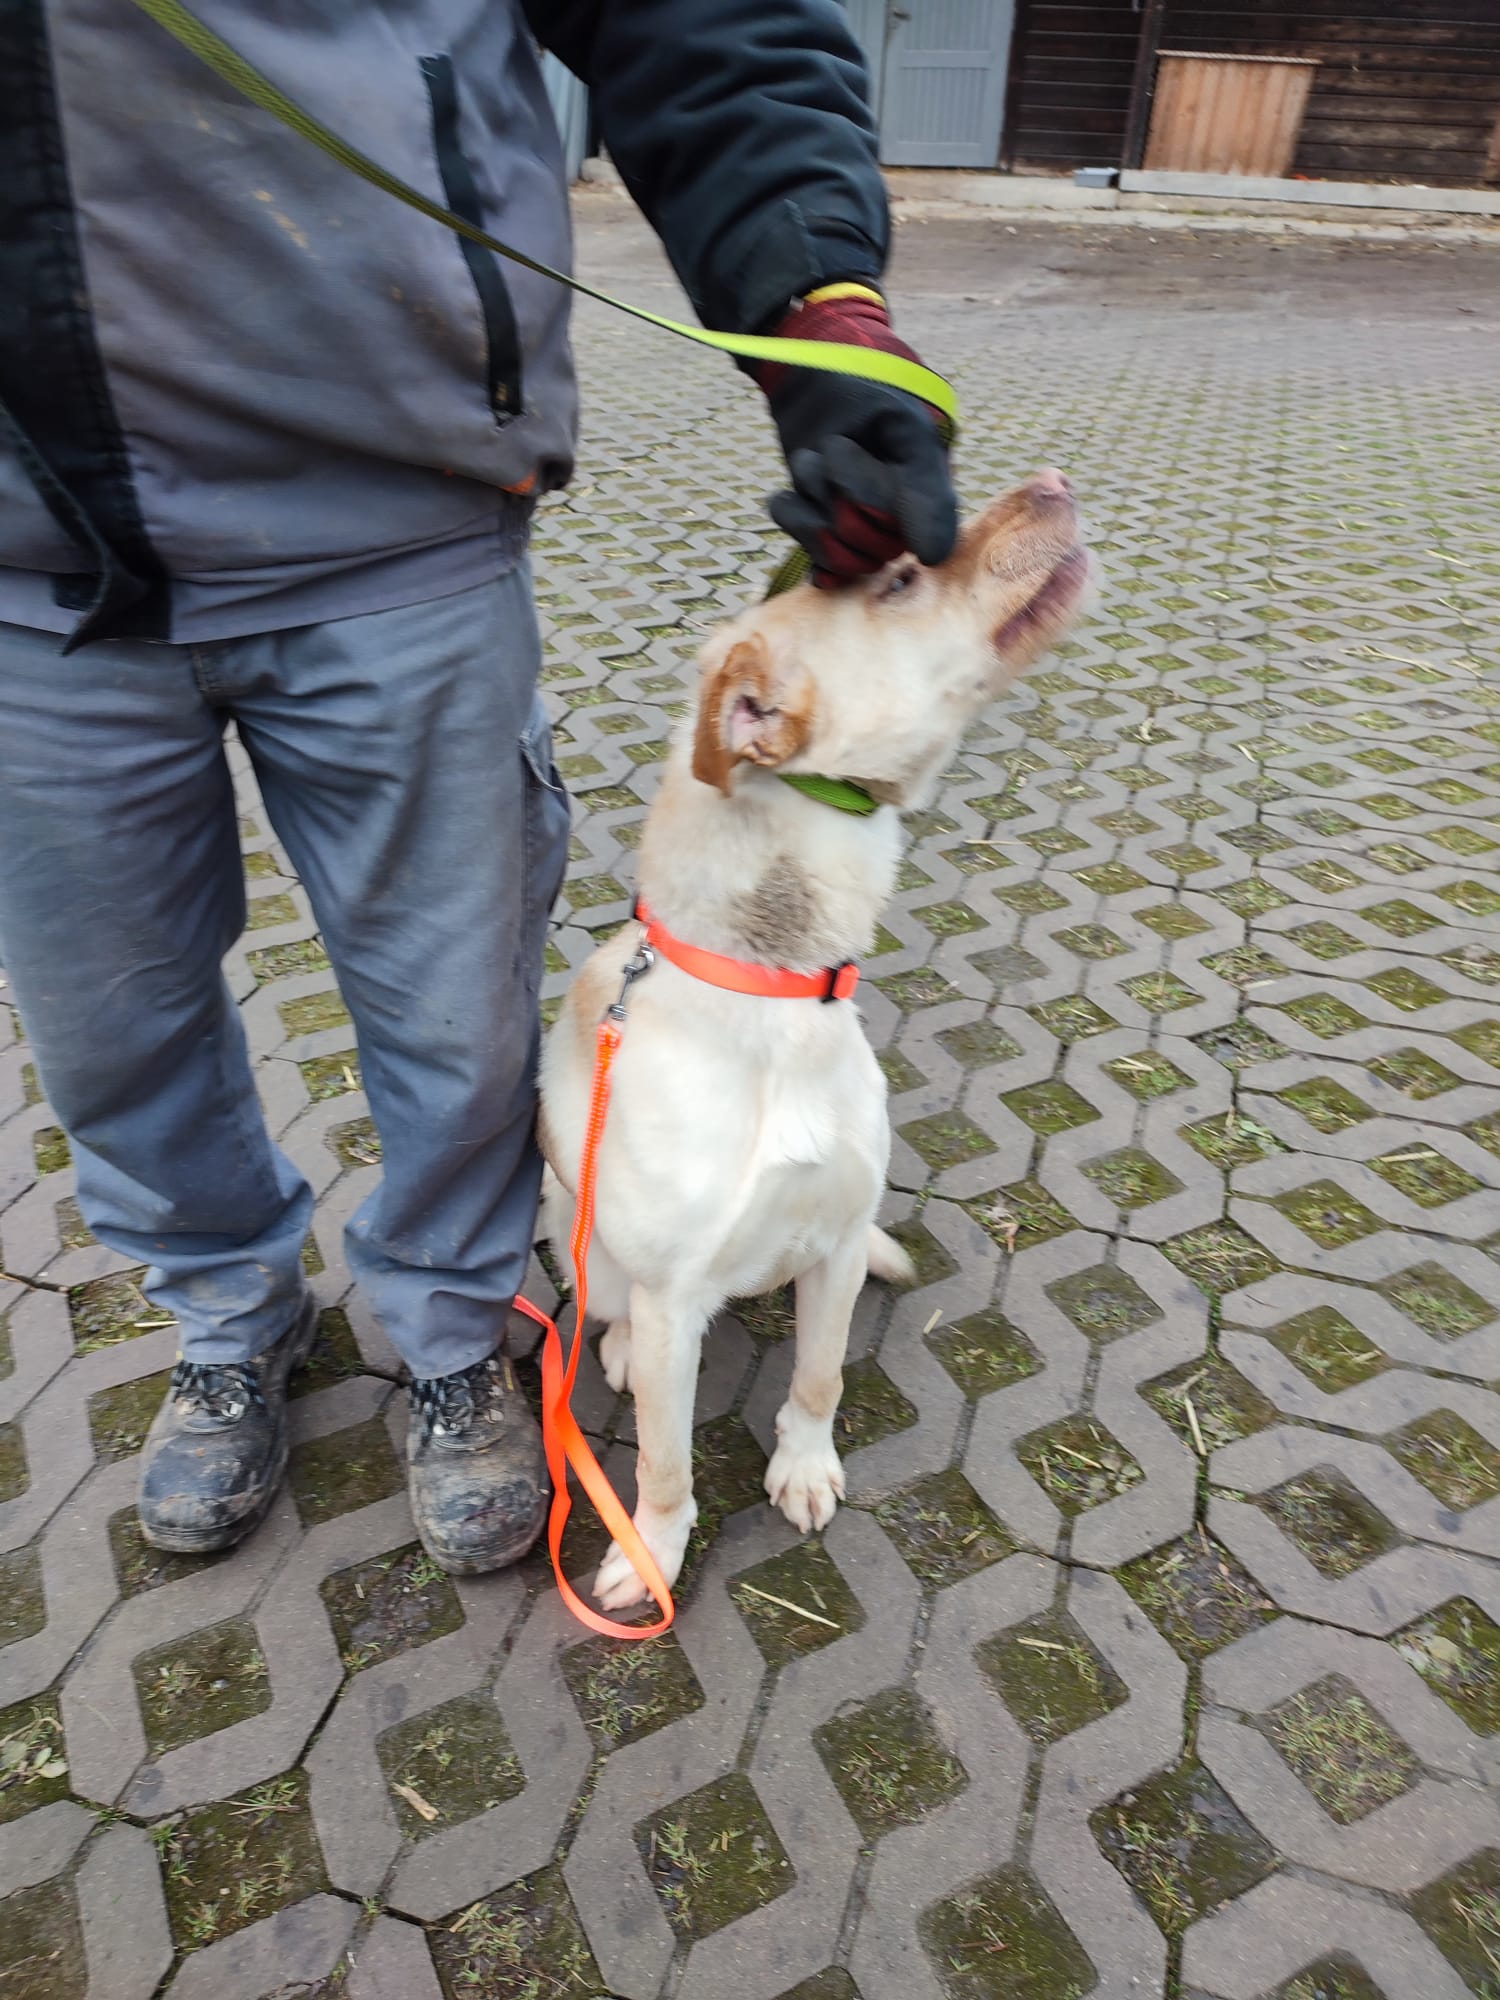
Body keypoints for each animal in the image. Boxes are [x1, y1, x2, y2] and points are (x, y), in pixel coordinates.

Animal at [539, 469, 1088, 1609]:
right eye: (903, 577)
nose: (1056, 481)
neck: (772, 990)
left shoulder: (830, 1241)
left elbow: (822, 1374)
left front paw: (802, 1466)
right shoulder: (673, 1295)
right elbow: (664, 1461)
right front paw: (653, 1552)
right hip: (586, 1246)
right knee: (609, 1320)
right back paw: (613, 1357)